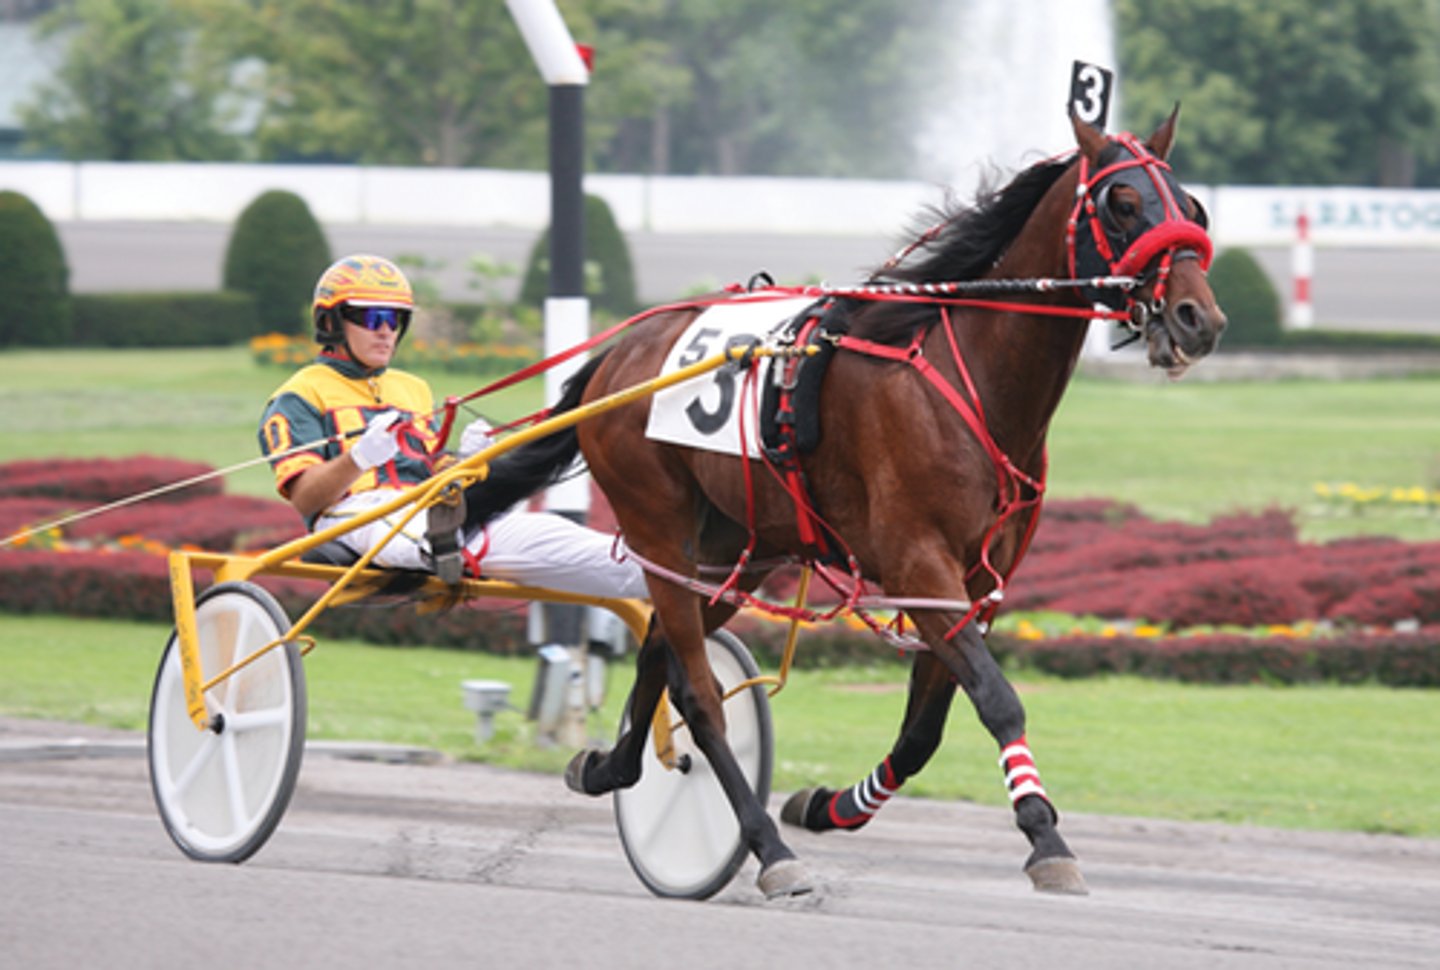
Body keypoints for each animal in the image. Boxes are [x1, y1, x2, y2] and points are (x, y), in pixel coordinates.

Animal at [463, 109, 1225, 898]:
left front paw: (831, 805)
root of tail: (620, 353)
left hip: (736, 550)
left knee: (659, 654)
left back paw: (611, 765)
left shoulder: (974, 583)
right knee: (699, 694)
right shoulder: (920, 566)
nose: (1197, 317)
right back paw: (769, 851)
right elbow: (997, 697)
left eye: (1193, 207)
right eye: (1122, 203)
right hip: (657, 523)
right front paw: (1046, 838)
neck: (969, 377)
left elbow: (924, 731)